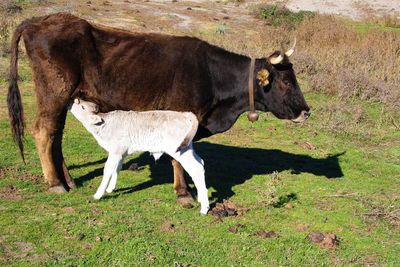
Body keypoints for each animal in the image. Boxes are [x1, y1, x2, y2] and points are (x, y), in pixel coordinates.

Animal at [69, 99, 209, 216]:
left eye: (82, 107)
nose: (73, 99)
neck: (104, 126)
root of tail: (185, 114)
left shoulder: (115, 151)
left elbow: (108, 169)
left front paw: (98, 195)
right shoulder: (121, 152)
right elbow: (117, 169)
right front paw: (110, 188)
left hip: (179, 150)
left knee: (196, 168)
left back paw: (204, 208)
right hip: (187, 147)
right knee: (201, 163)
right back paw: (201, 198)